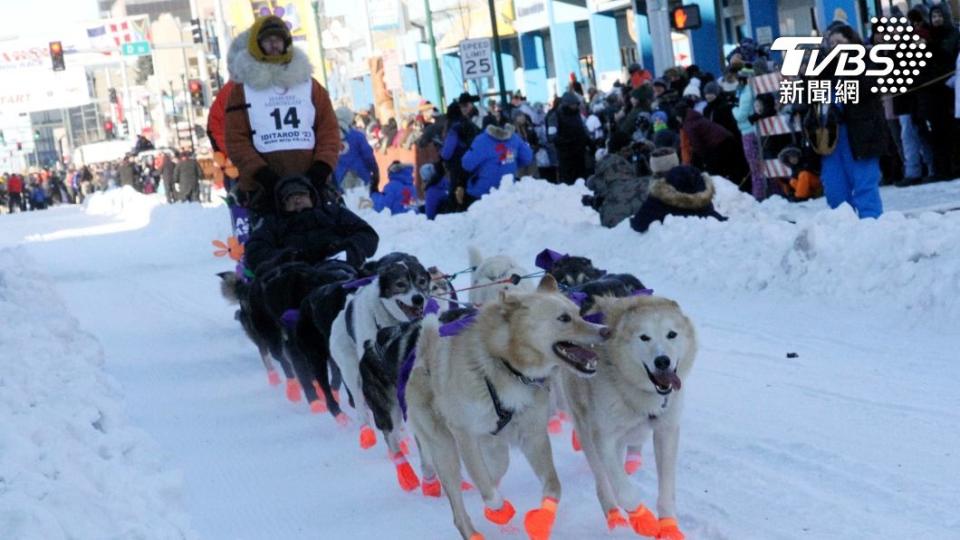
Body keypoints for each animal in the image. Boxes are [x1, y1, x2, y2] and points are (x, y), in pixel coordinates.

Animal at [408, 276, 612, 536]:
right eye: (564, 318)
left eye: (579, 313)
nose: (606, 330)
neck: (508, 367)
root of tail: (421, 360)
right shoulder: (464, 434)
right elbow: (487, 490)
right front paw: (500, 510)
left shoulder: (533, 436)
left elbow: (553, 486)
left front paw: (541, 519)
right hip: (445, 451)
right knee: (460, 509)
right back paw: (474, 530)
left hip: (496, 451)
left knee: (494, 472)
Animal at [556, 296, 696, 540]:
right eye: (644, 337)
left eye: (672, 334)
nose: (662, 361)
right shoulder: (603, 439)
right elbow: (624, 491)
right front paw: (642, 518)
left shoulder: (666, 432)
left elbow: (666, 489)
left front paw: (668, 526)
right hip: (587, 435)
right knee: (603, 483)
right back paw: (615, 519)